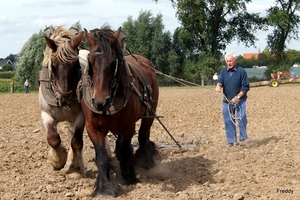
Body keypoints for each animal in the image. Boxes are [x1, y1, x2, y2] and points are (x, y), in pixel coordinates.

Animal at [38, 27, 85, 180]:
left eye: (75, 65)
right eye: (53, 65)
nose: (65, 97)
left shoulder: (81, 116)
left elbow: (76, 142)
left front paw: (74, 168)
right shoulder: (46, 114)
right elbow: (53, 138)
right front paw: (58, 161)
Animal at [79, 27, 159, 197]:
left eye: (112, 63)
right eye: (90, 61)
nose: (100, 101)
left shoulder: (128, 127)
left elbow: (124, 150)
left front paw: (129, 176)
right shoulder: (93, 128)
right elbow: (102, 157)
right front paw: (105, 187)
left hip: (150, 112)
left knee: (143, 135)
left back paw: (145, 160)